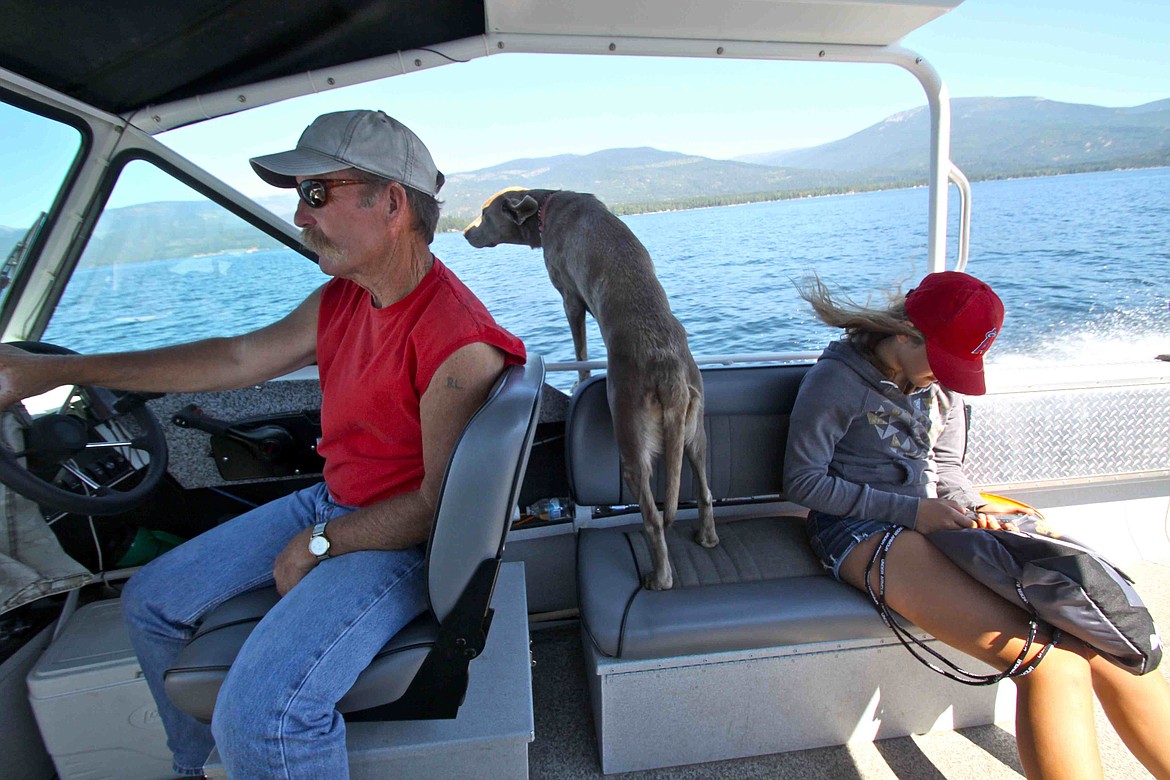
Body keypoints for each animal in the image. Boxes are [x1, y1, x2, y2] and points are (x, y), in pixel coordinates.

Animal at [463, 190, 716, 591]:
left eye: (486, 215)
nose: (464, 233)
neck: (546, 207)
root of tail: (669, 371)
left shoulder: (569, 295)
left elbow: (579, 346)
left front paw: (579, 379)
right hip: (695, 427)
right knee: (705, 490)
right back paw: (707, 537)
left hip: (630, 436)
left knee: (653, 518)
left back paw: (659, 577)